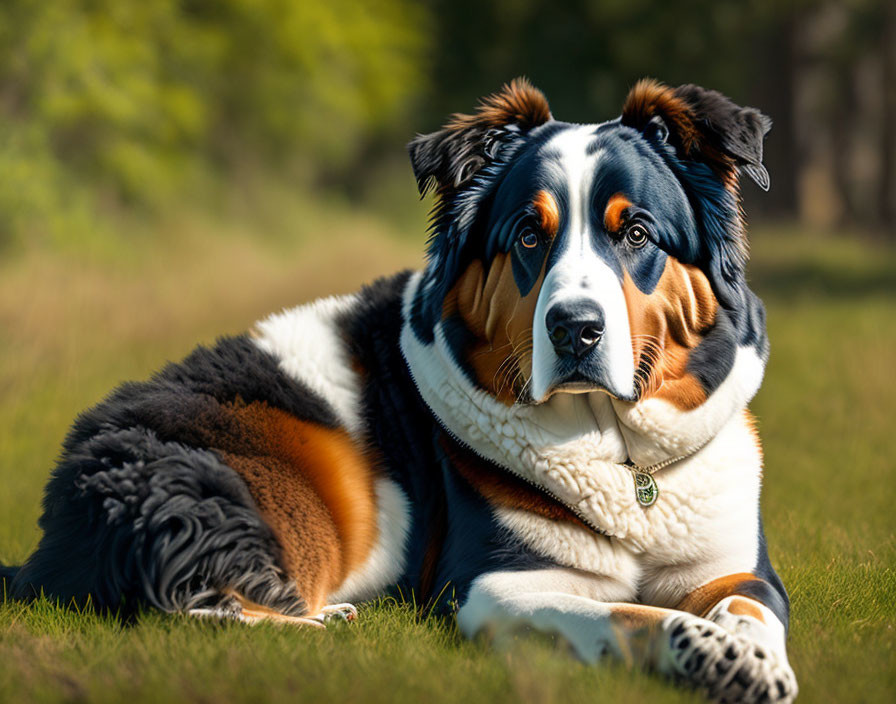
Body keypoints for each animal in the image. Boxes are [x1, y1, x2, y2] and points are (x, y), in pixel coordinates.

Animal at [1, 78, 800, 704]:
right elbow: (624, 615)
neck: (625, 464)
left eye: (636, 233)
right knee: (180, 608)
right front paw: (702, 650)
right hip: (229, 498)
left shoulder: (736, 567)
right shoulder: (493, 587)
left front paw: (748, 661)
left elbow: (750, 613)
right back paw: (319, 624)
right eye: (528, 237)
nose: (575, 329)